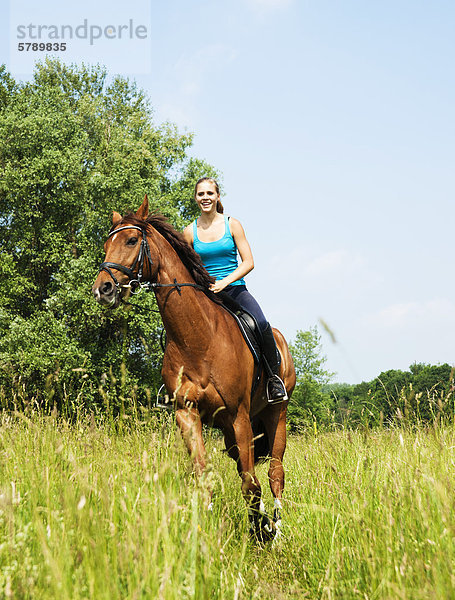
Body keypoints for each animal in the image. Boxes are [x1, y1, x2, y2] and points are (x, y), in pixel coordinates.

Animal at [93, 196, 296, 540]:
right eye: (107, 244)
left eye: (132, 240)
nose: (102, 289)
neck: (198, 337)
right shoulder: (187, 414)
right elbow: (204, 476)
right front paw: (206, 535)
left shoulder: (239, 415)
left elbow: (250, 483)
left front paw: (259, 531)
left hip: (274, 415)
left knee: (274, 473)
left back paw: (277, 530)